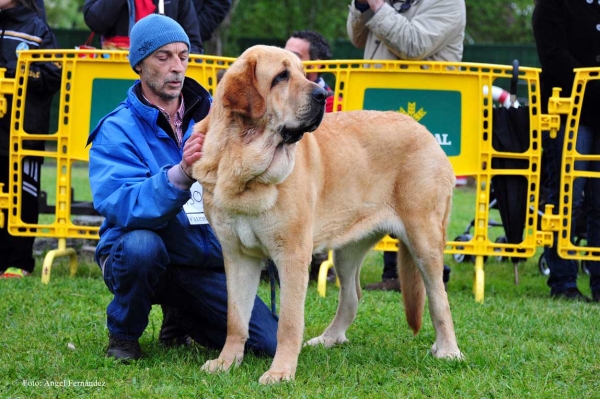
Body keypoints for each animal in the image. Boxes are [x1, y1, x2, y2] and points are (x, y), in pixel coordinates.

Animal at [192, 44, 464, 384]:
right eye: (281, 77)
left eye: (302, 72)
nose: (322, 94)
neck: (243, 160)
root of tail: (424, 131)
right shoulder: (238, 255)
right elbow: (235, 319)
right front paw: (227, 362)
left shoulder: (292, 254)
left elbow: (289, 322)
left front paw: (281, 372)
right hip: (348, 250)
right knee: (352, 295)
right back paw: (329, 339)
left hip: (423, 240)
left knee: (439, 298)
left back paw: (448, 350)